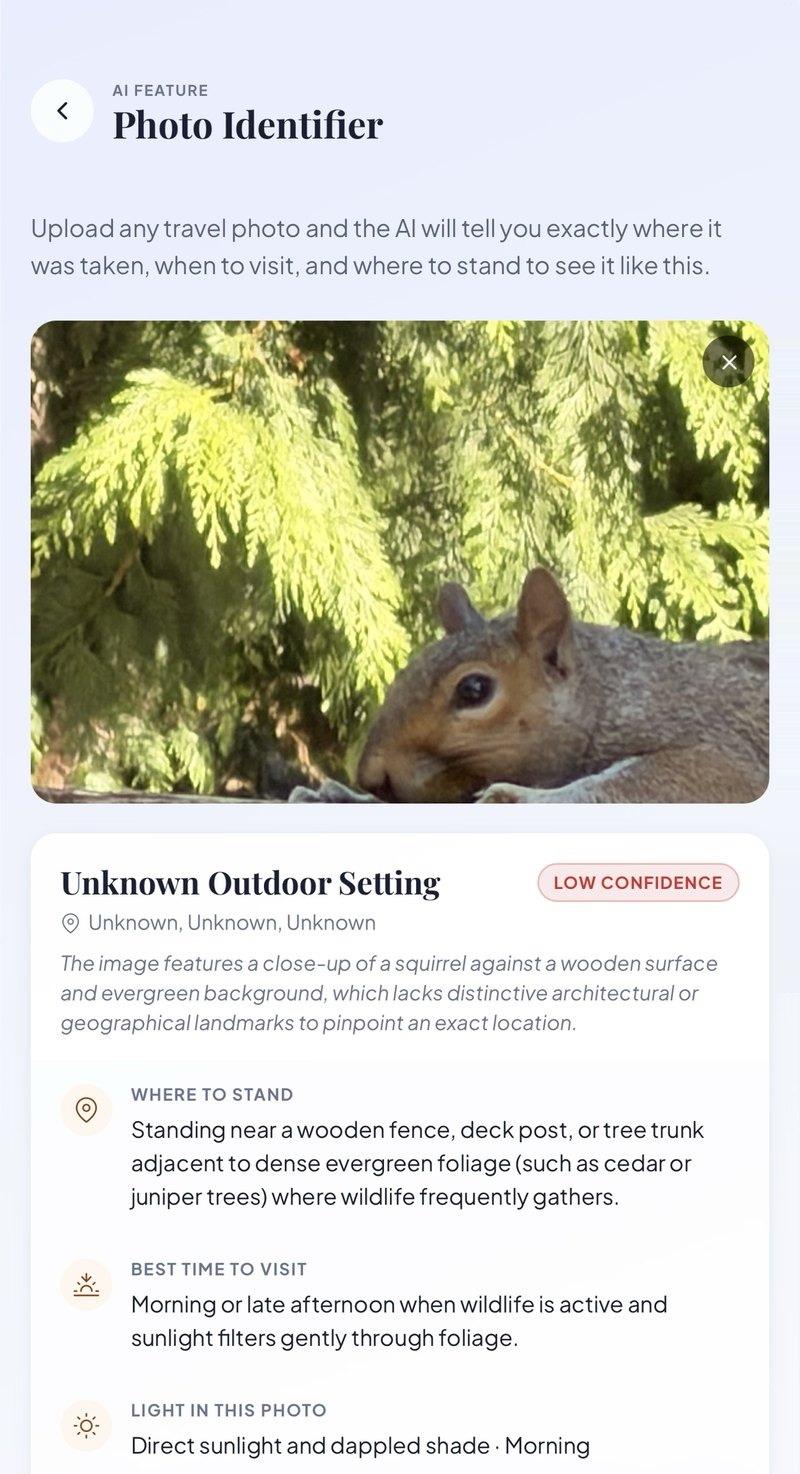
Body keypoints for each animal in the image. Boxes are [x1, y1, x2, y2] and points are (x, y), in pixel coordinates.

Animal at [289, 568, 768, 804]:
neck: (609, 698)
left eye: (474, 690)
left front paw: (518, 796)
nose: (370, 777)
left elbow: (632, 781)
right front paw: (337, 796)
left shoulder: (718, 741)